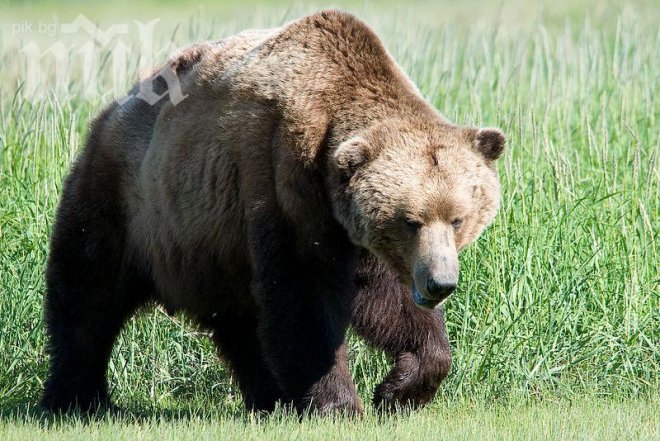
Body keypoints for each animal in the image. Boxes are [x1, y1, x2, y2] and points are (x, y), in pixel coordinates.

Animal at [42, 11, 506, 416]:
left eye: (458, 218)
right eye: (410, 221)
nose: (439, 283)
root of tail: (114, 107)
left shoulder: (354, 231)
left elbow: (387, 301)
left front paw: (399, 389)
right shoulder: (284, 181)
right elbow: (305, 295)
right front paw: (339, 403)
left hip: (213, 248)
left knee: (240, 323)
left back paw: (269, 397)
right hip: (128, 200)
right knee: (87, 295)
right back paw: (77, 398)